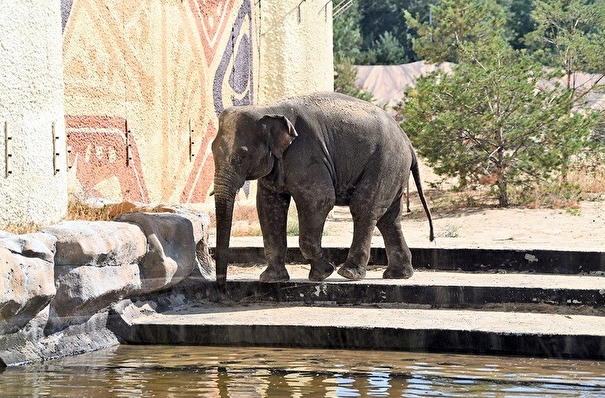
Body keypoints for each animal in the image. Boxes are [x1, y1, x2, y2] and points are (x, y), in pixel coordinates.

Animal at [210, 92, 432, 286]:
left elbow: (319, 200)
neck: (267, 108)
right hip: (394, 169)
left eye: (242, 156)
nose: (222, 286)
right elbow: (268, 206)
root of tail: (408, 142)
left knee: (364, 208)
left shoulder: (305, 154)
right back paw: (399, 275)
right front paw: (271, 279)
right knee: (389, 218)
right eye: (211, 150)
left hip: (385, 162)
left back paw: (349, 273)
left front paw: (322, 274)